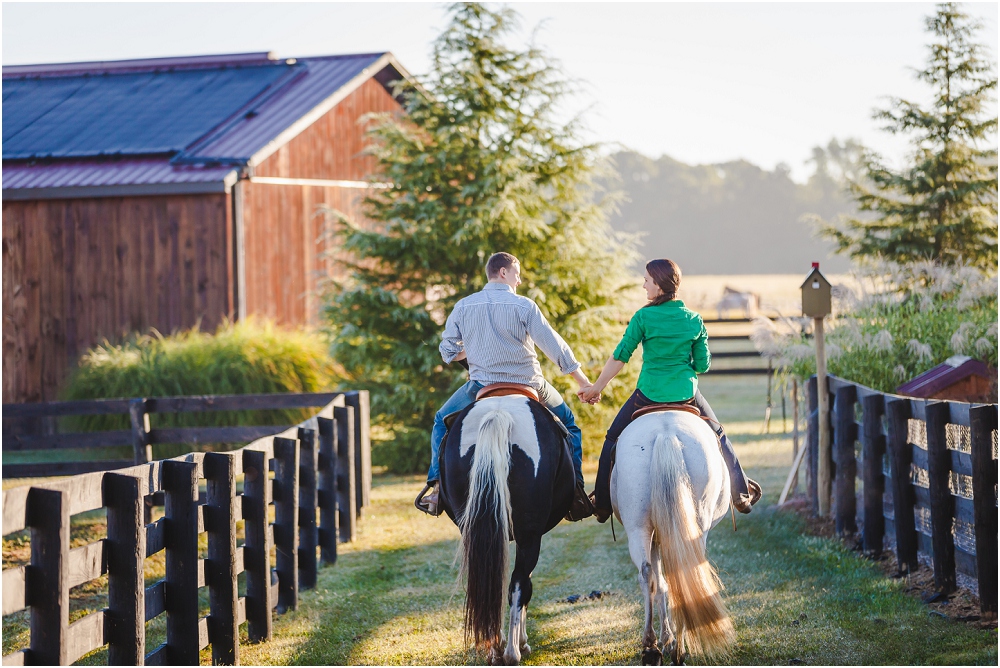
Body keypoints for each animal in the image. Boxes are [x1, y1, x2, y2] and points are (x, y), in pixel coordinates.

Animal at [442, 396, 576, 664]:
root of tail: (498, 414)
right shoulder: (531, 537)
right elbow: (526, 585)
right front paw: (522, 641)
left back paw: (495, 649)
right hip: (529, 536)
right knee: (518, 585)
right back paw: (513, 652)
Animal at [608, 412, 736, 664]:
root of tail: (665, 433)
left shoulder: (656, 538)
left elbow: (660, 585)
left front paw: (666, 640)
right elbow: (664, 585)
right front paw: (669, 640)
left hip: (638, 527)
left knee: (648, 574)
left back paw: (651, 648)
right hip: (695, 526)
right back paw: (676, 649)